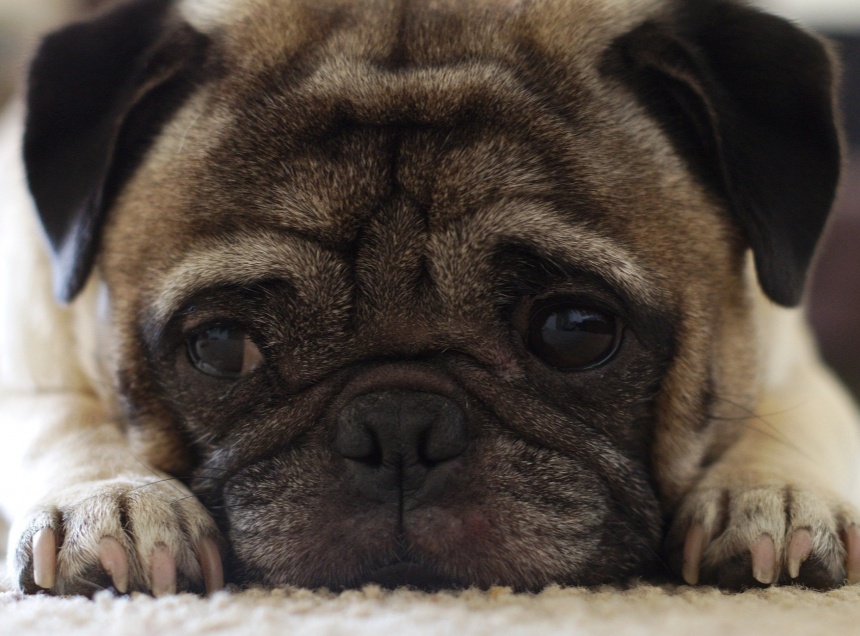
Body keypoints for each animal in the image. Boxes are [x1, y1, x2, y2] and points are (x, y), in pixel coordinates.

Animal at [1, 0, 859, 596]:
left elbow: (786, 423)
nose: (399, 426)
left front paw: (770, 495)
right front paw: (110, 498)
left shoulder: (802, 370)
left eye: (575, 330)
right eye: (220, 346)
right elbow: (64, 416)